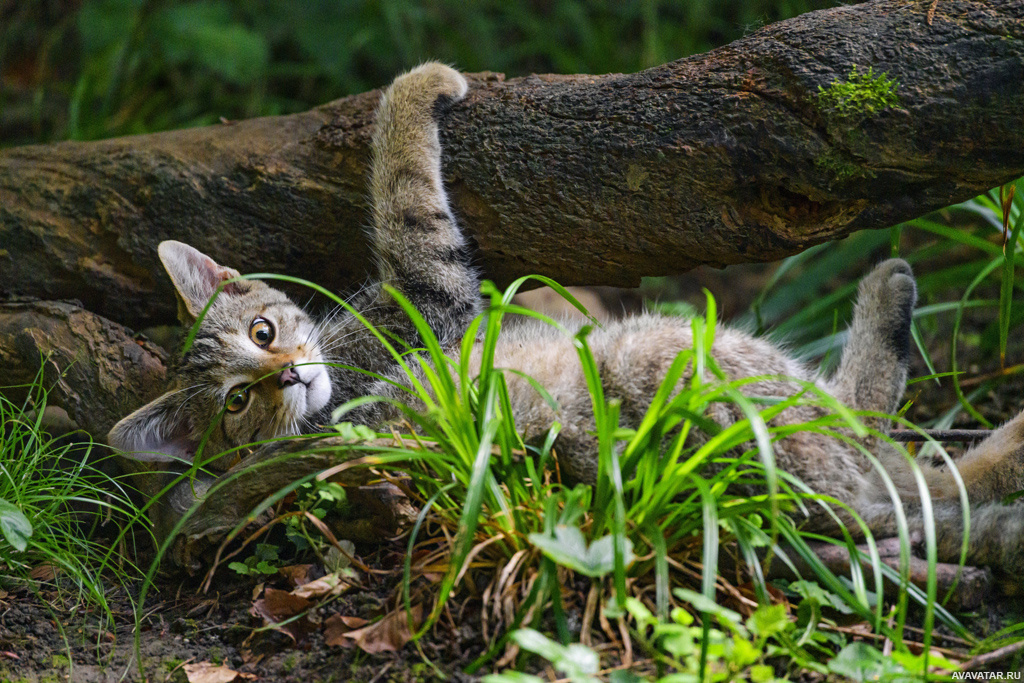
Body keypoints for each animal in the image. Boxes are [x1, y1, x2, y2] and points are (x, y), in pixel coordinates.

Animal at [108, 63, 1024, 577]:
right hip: (681, 348)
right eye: (236, 402)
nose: (287, 372)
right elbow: (401, 185)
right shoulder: (429, 288)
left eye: (262, 334)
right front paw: (418, 87)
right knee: (887, 451)